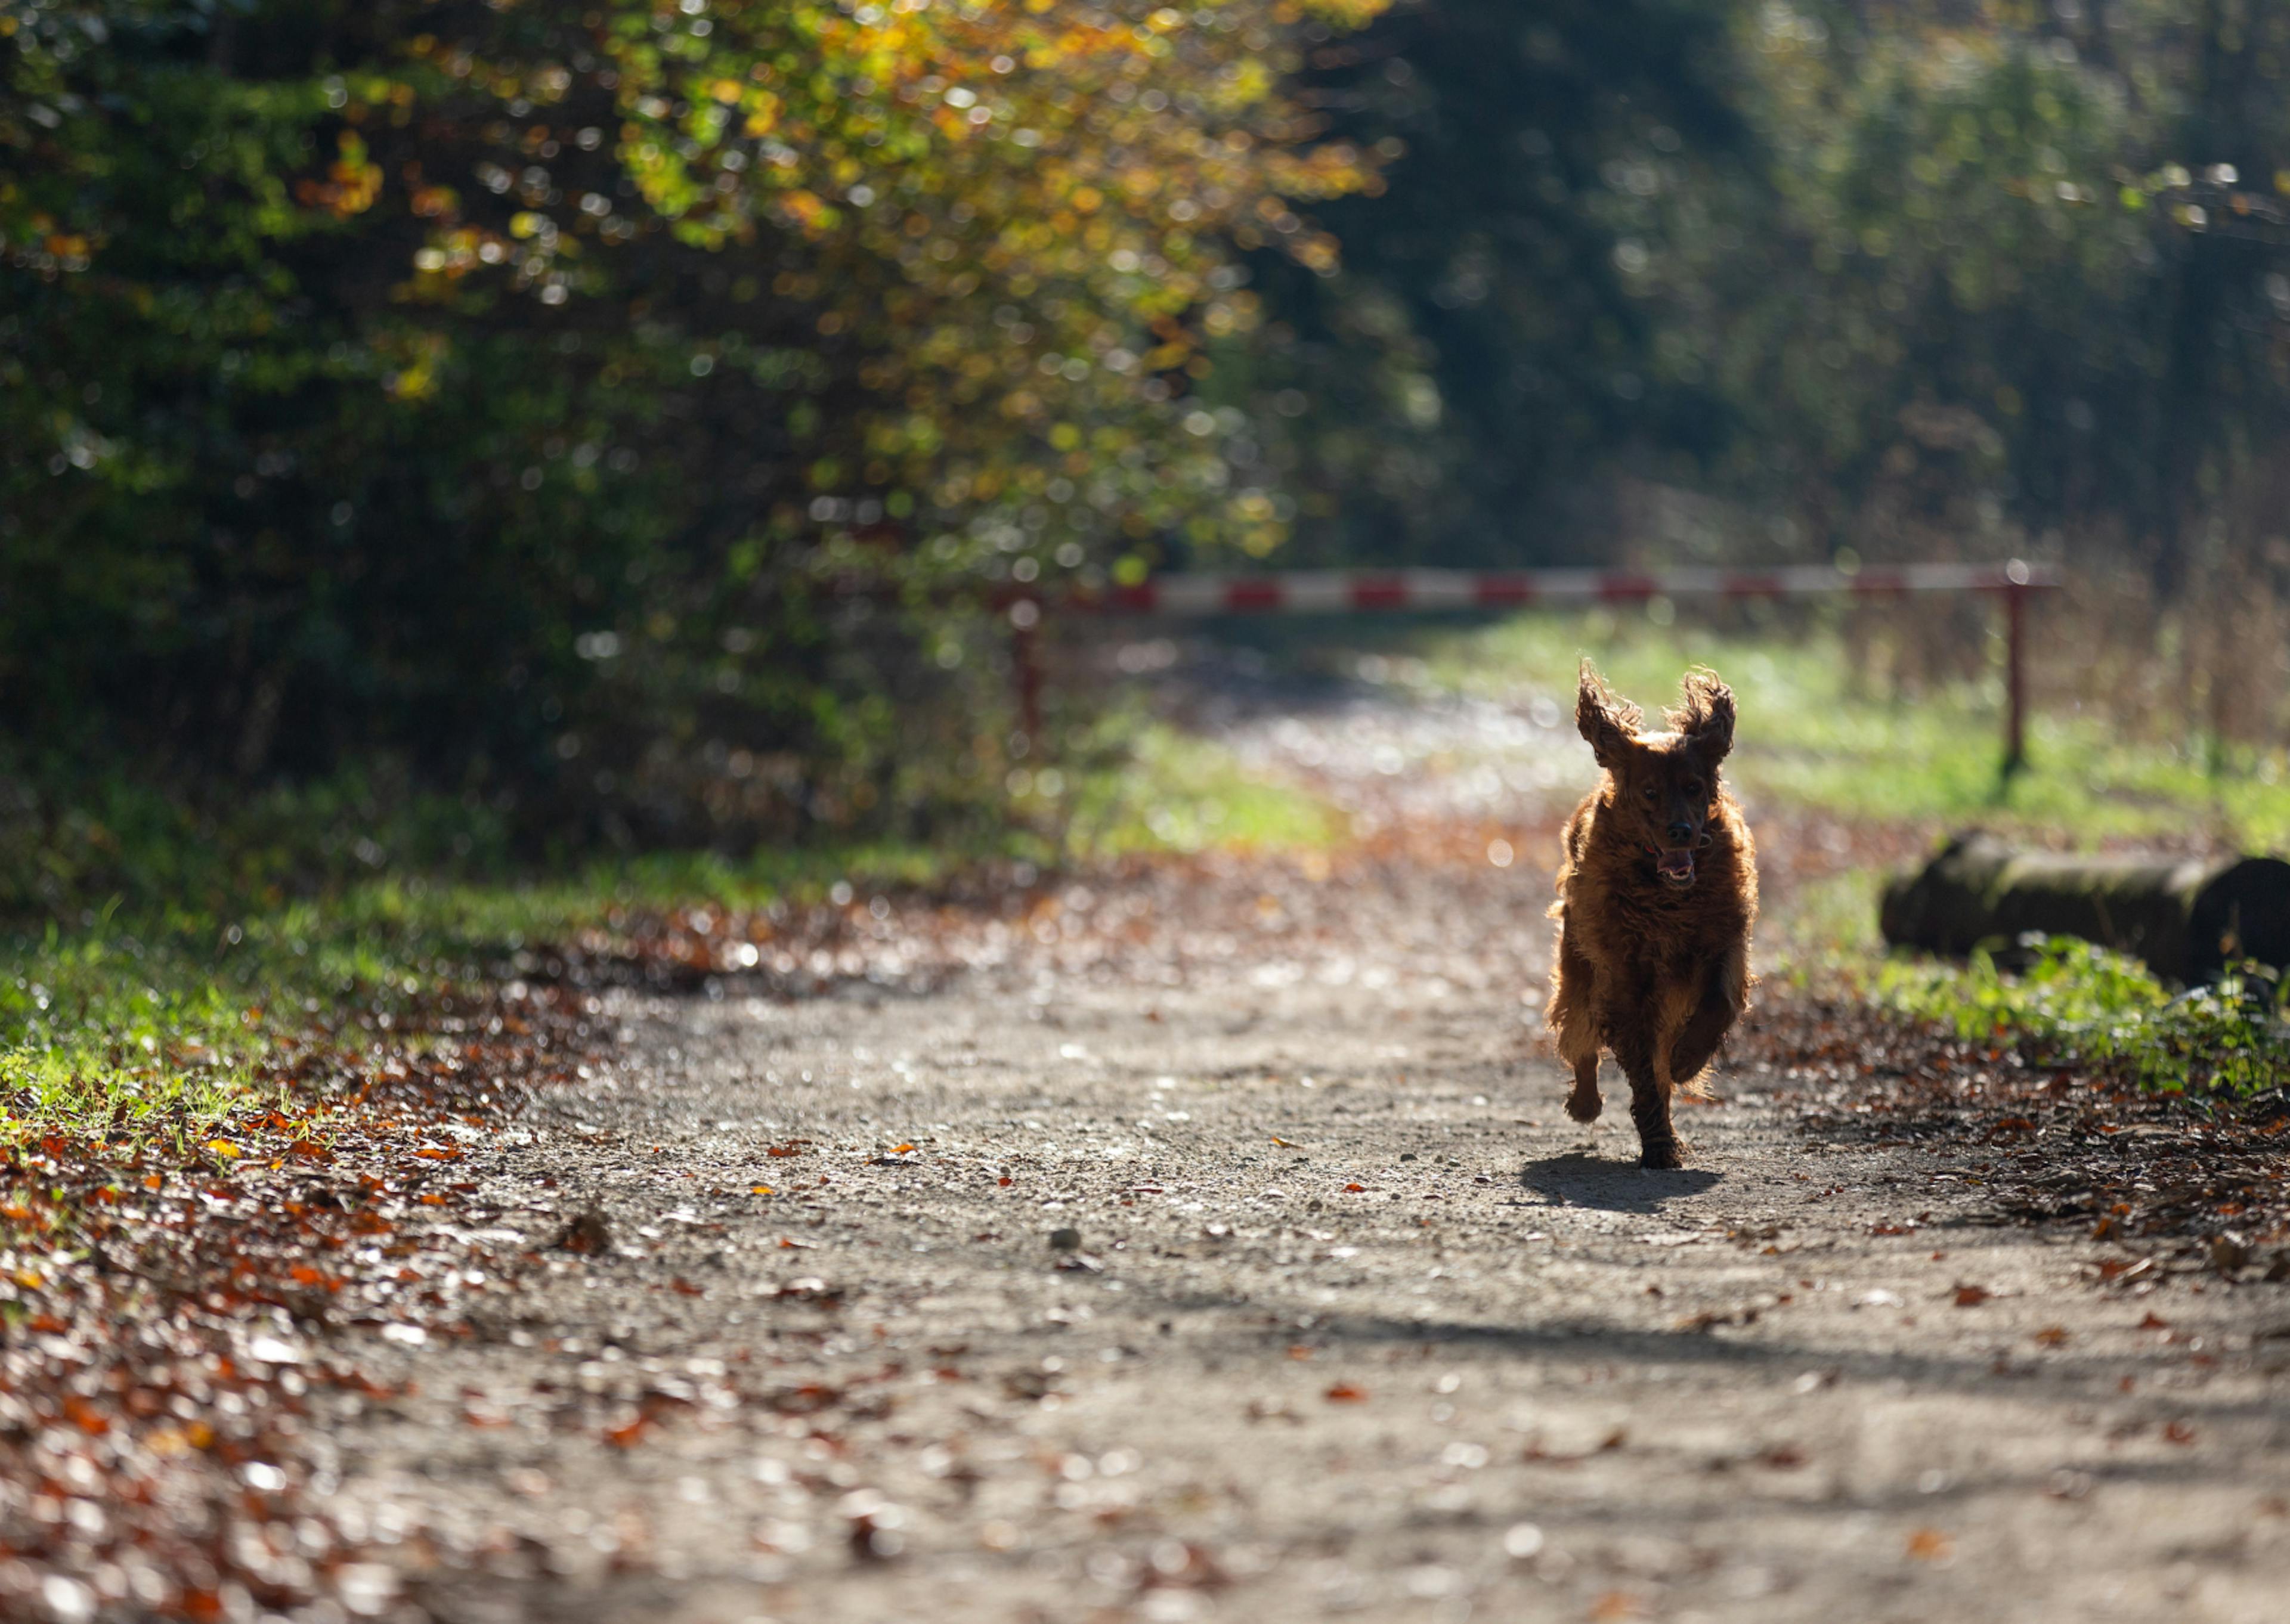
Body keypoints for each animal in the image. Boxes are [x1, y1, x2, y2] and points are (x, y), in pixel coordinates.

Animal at [1548, 659, 1759, 1163]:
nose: (1681, 831)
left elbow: (1718, 1005)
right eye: (1649, 791)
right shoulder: (1626, 976)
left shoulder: (1723, 944)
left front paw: (1687, 1060)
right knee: (1581, 1037)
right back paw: (1585, 1101)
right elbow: (1643, 1065)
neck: (1668, 896)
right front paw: (1659, 1144)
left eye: (1694, 787)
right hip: (1579, 967)